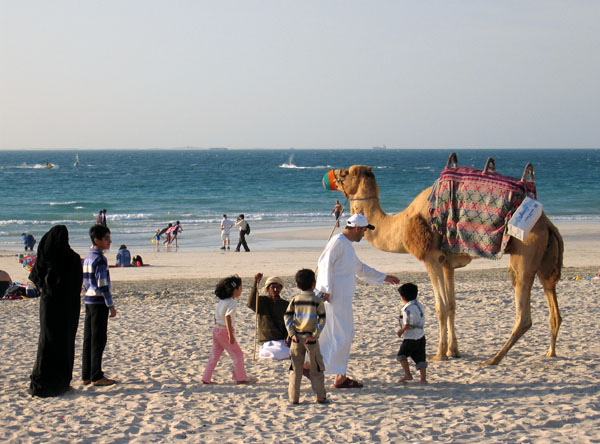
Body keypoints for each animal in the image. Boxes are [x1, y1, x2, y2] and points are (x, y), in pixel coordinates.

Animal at [324, 163, 564, 364]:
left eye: (345, 173)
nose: (328, 177)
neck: (402, 225)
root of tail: (546, 223)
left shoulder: (431, 258)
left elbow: (440, 306)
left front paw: (439, 354)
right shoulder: (448, 264)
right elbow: (452, 305)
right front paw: (453, 351)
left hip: (525, 249)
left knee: (523, 309)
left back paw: (493, 359)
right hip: (544, 257)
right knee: (552, 301)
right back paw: (550, 352)